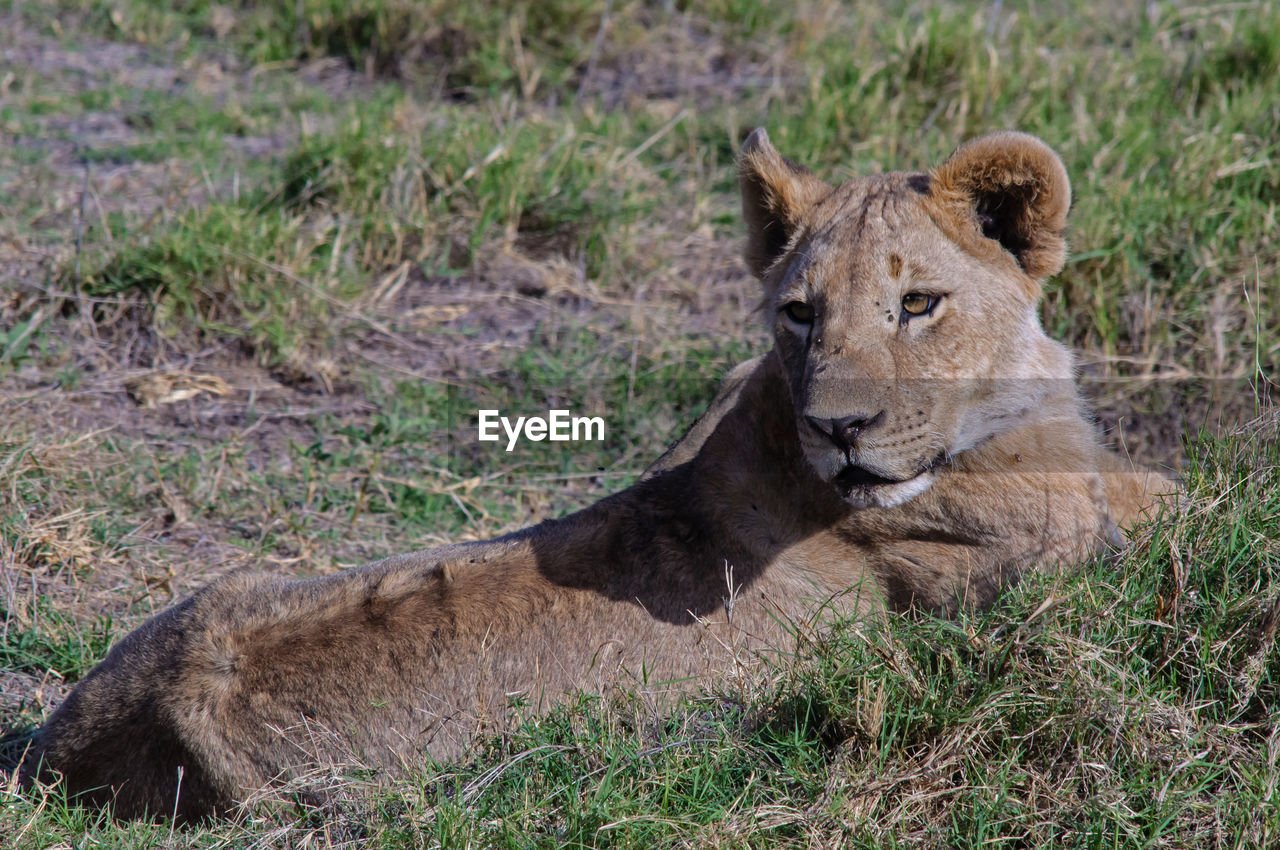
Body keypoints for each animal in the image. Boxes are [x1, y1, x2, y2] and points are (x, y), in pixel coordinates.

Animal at [20, 129, 1172, 819]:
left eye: (918, 303)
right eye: (800, 312)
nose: (839, 428)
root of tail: (49, 760)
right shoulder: (1057, 554)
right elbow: (1188, 505)